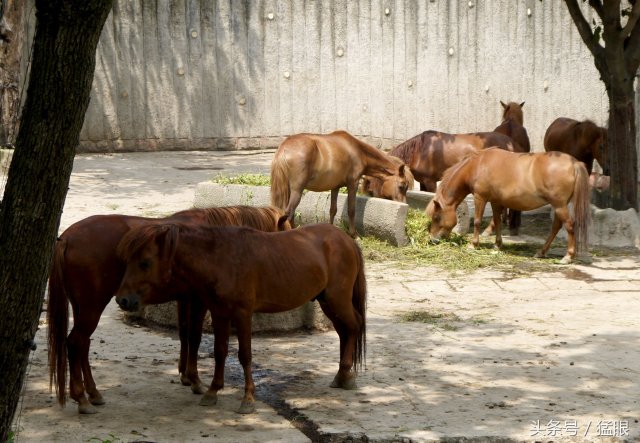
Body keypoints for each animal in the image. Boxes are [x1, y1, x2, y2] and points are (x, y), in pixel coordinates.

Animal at [48, 206, 288, 414]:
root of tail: (67, 238)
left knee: (83, 345)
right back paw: (81, 398)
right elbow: (195, 336)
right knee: (75, 343)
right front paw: (195, 380)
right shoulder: (199, 300)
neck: (212, 243)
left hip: (82, 307)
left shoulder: (185, 299)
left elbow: (184, 334)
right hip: (92, 307)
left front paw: (186, 376)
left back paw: (93, 393)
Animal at [112, 225, 368, 416]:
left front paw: (248, 399)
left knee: (353, 326)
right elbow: (220, 351)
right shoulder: (219, 313)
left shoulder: (243, 314)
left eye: (145, 262)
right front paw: (213, 391)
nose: (122, 299)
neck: (221, 258)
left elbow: (244, 355)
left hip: (337, 300)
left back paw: (346, 375)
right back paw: (341, 375)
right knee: (344, 331)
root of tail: (346, 239)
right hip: (327, 302)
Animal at [270, 130, 410, 238]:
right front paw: (354, 235)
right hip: (297, 191)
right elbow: (351, 210)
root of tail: (284, 147)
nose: (404, 204)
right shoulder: (353, 184)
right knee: (289, 212)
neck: (357, 150)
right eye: (401, 185)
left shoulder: (335, 187)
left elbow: (333, 210)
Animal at [428, 149, 592, 266]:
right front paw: (497, 245)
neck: (477, 165)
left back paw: (568, 256)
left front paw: (473, 245)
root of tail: (574, 162)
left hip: (559, 205)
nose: (432, 239)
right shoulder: (496, 202)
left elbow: (477, 222)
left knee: (569, 225)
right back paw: (541, 252)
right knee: (556, 227)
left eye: (436, 217)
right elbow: (497, 222)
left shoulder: (480, 198)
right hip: (559, 206)